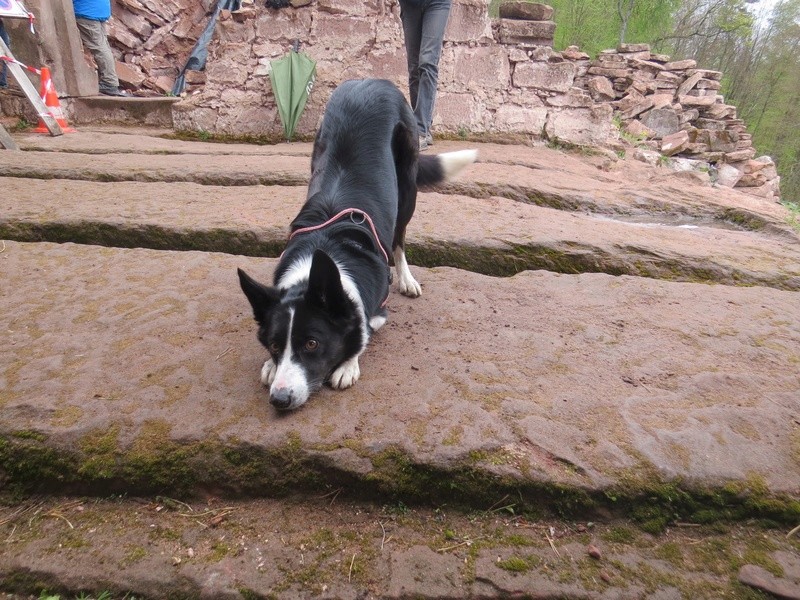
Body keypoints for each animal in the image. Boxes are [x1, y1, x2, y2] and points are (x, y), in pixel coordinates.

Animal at [238, 77, 476, 410]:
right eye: (274, 345)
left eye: (312, 343)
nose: (279, 400)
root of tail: (372, 81)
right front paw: (272, 367)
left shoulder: (378, 312)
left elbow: (362, 331)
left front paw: (347, 365)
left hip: (407, 187)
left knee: (399, 239)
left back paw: (407, 278)